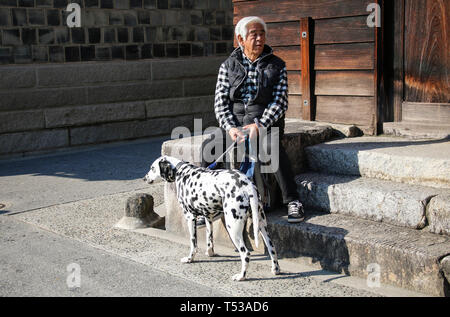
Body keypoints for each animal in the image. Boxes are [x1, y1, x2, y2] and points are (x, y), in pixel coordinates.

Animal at [144, 154, 280, 280]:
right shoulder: (208, 218)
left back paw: (241, 276)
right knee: (272, 247)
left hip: (233, 228)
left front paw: (190, 258)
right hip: (262, 225)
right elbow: (209, 239)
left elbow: (193, 243)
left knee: (245, 254)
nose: (144, 178)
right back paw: (276, 269)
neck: (181, 172)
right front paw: (210, 253)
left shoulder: (190, 218)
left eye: (152, 168)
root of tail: (247, 185)